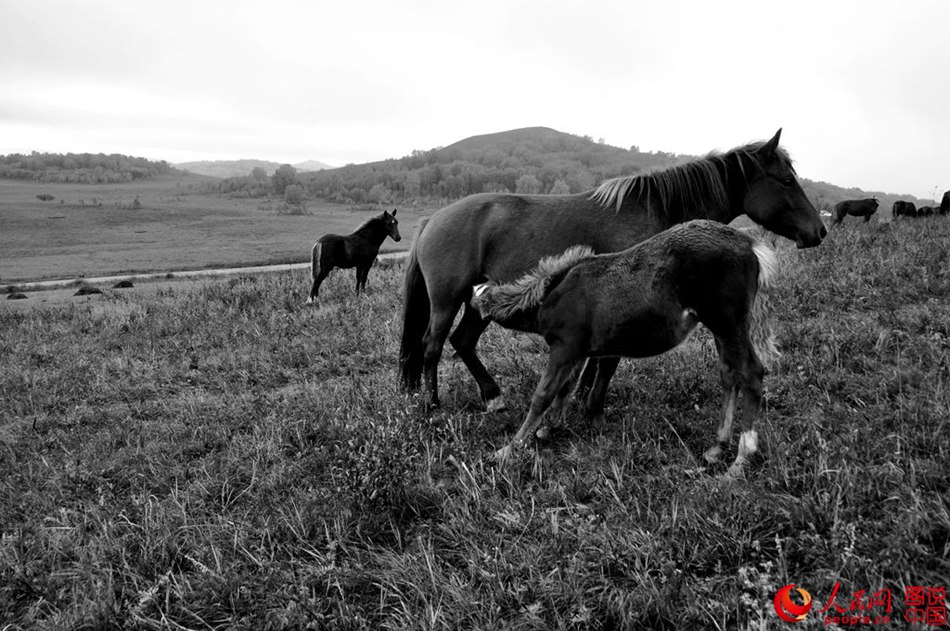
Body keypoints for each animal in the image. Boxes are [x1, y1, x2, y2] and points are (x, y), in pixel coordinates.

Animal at [398, 128, 828, 414]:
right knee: (433, 345)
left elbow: (599, 357)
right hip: (447, 299)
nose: (818, 231)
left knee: (462, 342)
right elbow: (607, 361)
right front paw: (590, 406)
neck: (658, 210)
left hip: (479, 301)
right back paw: (433, 405)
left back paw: (493, 398)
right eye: (786, 180)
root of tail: (432, 219)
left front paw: (578, 398)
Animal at [474, 220, 780, 476]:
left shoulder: (564, 348)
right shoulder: (581, 353)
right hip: (721, 327)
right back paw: (717, 448)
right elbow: (568, 389)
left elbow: (543, 395)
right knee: (729, 373)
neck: (551, 294)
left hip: (727, 322)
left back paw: (740, 461)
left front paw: (508, 449)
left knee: (751, 373)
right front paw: (551, 428)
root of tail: (750, 244)